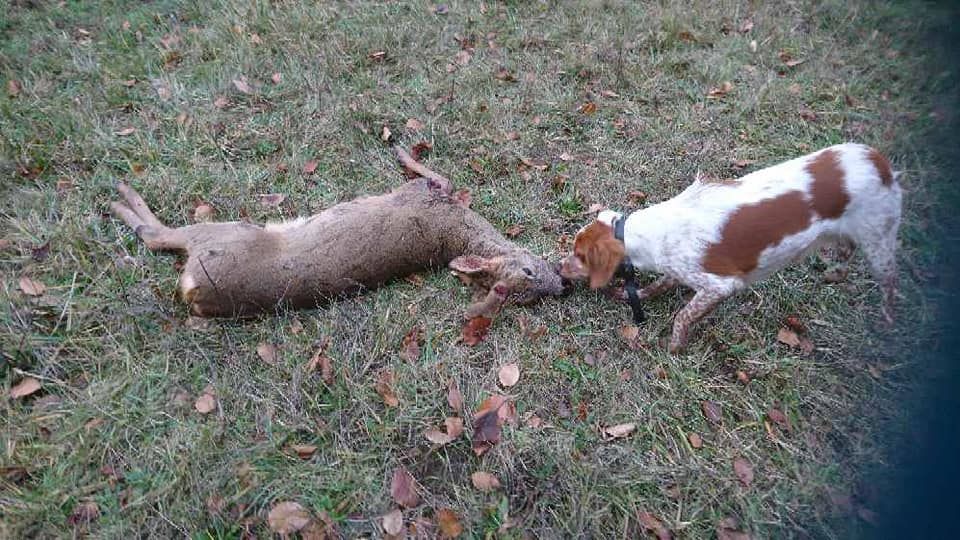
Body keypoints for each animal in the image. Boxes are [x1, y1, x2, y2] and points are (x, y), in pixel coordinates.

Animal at [110, 146, 568, 318]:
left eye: (530, 296)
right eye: (529, 274)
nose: (562, 284)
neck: (457, 234)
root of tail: (194, 292)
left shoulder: (427, 194)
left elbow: (434, 173)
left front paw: (400, 147)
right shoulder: (427, 194)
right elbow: (432, 171)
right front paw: (400, 146)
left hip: (227, 235)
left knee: (157, 236)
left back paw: (121, 196)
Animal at [560, 143, 904, 352]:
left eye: (579, 256)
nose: (558, 267)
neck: (649, 233)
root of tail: (879, 161)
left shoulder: (721, 285)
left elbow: (683, 315)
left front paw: (674, 347)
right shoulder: (680, 267)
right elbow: (660, 285)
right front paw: (638, 294)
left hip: (880, 242)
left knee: (890, 283)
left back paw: (886, 324)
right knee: (846, 249)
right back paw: (834, 271)